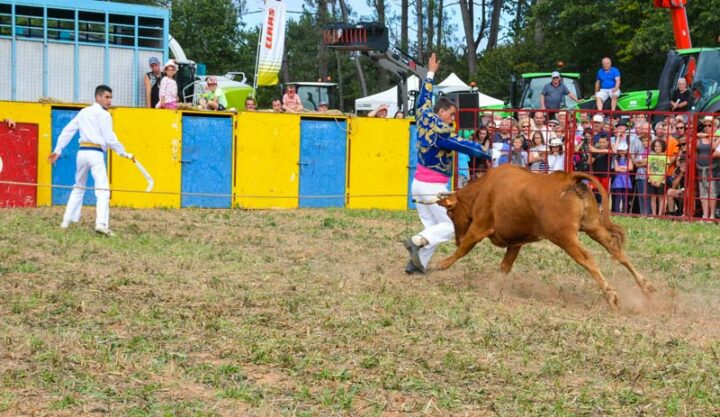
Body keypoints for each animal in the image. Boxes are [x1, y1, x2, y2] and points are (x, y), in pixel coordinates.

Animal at [436, 164, 656, 308]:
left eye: (450, 214)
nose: (456, 238)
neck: (483, 190)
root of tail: (568, 178)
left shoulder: (478, 227)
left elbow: (464, 249)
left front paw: (442, 264)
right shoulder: (515, 242)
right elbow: (505, 266)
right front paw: (494, 286)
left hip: (564, 236)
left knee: (587, 259)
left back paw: (611, 295)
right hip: (593, 226)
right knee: (616, 250)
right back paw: (646, 287)